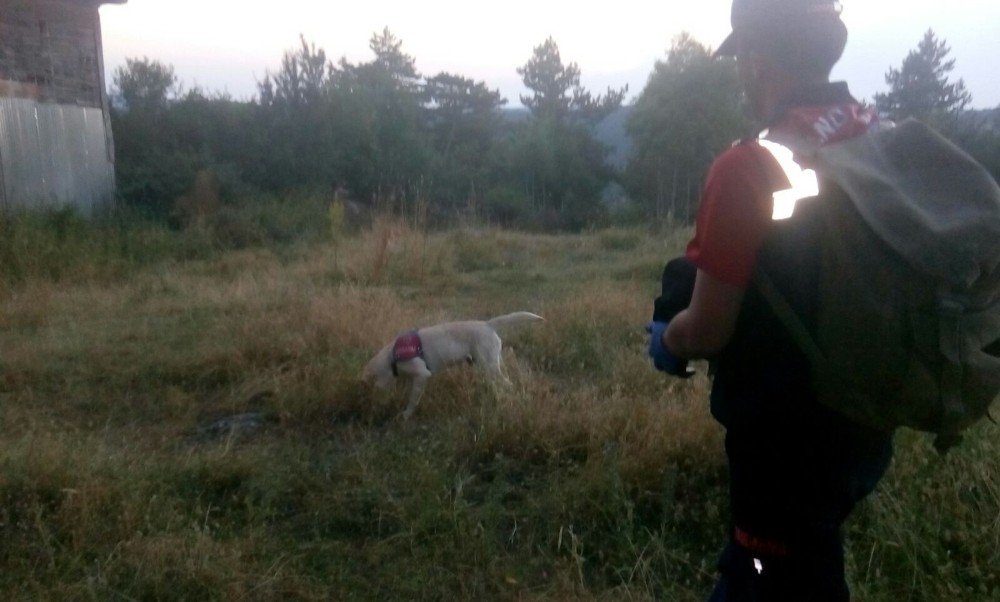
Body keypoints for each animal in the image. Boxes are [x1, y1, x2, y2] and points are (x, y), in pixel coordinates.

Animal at [362, 312, 544, 420]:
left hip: (489, 367)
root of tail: (488, 324)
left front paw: (406, 414)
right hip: (487, 365)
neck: (392, 356)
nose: (374, 407)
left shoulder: (421, 375)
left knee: (508, 384)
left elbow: (413, 398)